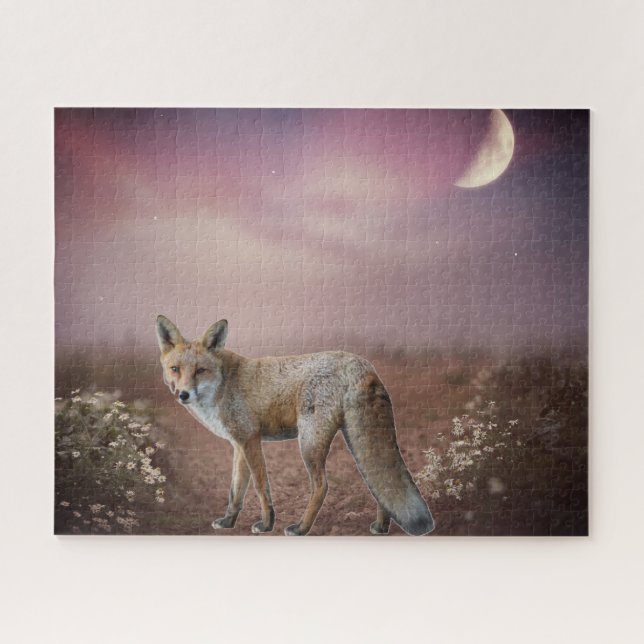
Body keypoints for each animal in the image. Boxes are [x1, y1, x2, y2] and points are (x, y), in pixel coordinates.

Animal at [155, 315, 435, 536]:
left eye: (200, 370)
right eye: (175, 369)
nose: (183, 395)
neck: (223, 385)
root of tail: (363, 364)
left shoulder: (250, 439)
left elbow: (260, 486)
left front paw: (266, 524)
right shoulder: (239, 444)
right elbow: (236, 490)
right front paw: (228, 522)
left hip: (309, 443)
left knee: (322, 487)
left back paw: (301, 528)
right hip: (354, 439)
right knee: (379, 483)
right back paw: (380, 527)